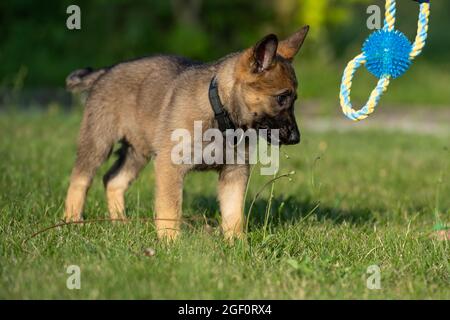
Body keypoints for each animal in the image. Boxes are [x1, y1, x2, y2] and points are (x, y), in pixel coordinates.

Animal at [64, 26, 310, 239]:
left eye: (294, 99)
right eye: (282, 98)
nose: (296, 138)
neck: (220, 111)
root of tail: (105, 71)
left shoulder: (235, 171)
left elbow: (233, 213)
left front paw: (238, 244)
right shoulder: (169, 166)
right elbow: (170, 209)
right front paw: (170, 243)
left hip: (138, 151)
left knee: (113, 180)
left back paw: (119, 222)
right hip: (98, 141)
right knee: (80, 179)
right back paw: (72, 220)